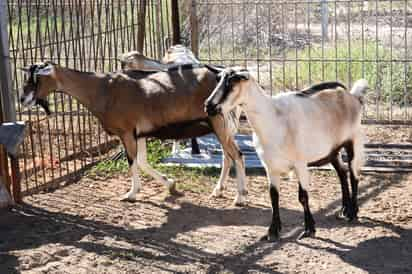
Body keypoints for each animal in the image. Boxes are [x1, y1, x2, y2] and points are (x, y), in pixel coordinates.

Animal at [204, 67, 368, 242]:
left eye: (232, 82)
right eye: (218, 79)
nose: (208, 106)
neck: (273, 119)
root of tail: (352, 96)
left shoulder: (300, 163)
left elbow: (303, 196)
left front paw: (309, 230)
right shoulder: (270, 166)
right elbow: (274, 197)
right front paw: (272, 231)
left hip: (353, 141)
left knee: (354, 175)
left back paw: (352, 213)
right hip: (332, 150)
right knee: (342, 172)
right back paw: (343, 209)